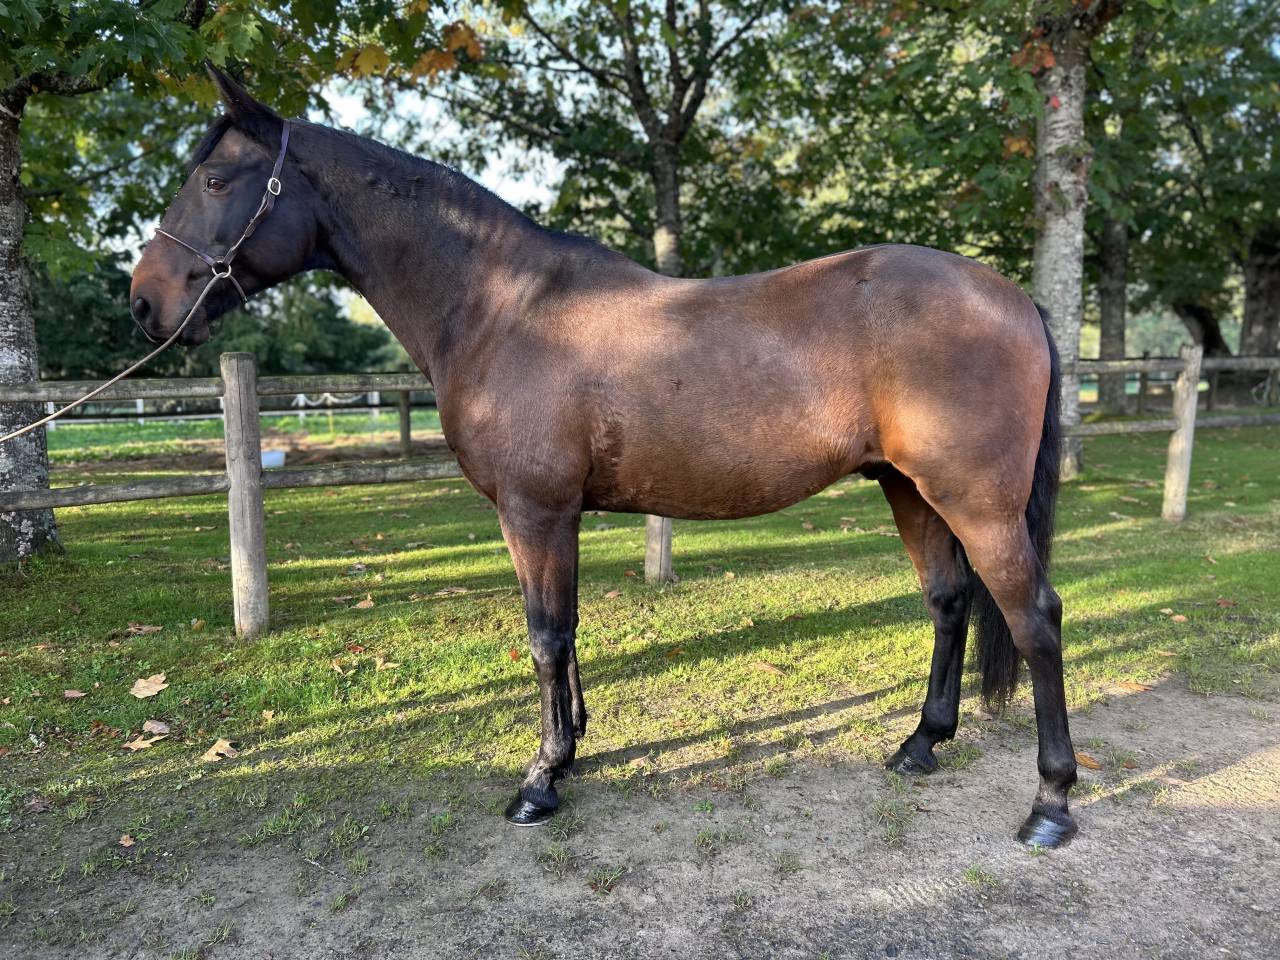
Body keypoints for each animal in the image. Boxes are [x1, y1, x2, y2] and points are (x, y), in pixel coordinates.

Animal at [130, 65, 1078, 848]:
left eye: (215, 179)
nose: (143, 302)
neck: (501, 307)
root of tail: (1011, 299)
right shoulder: (556, 516)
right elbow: (567, 631)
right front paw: (572, 748)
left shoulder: (534, 511)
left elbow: (545, 635)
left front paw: (540, 781)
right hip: (908, 489)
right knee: (950, 603)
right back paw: (922, 744)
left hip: (978, 503)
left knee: (1035, 619)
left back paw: (1051, 804)